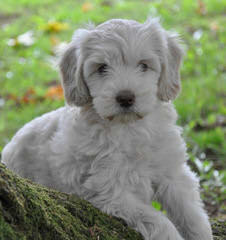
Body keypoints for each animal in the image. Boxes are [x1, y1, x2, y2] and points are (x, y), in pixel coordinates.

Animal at [1, 17, 213, 239]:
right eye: (102, 68)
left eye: (143, 65)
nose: (126, 97)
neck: (129, 128)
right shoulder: (110, 191)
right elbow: (159, 221)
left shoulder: (173, 172)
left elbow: (191, 214)